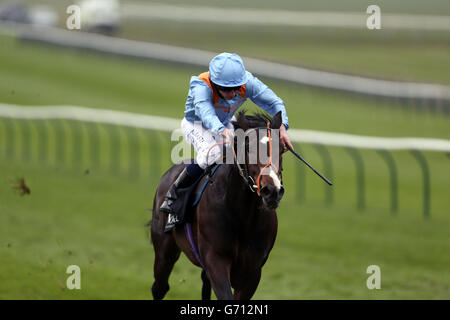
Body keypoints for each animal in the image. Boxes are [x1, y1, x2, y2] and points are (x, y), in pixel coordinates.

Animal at [151, 110, 284, 300]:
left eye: (281, 149)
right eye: (248, 148)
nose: (272, 191)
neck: (243, 217)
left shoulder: (252, 272)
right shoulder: (215, 260)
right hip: (164, 250)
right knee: (159, 287)